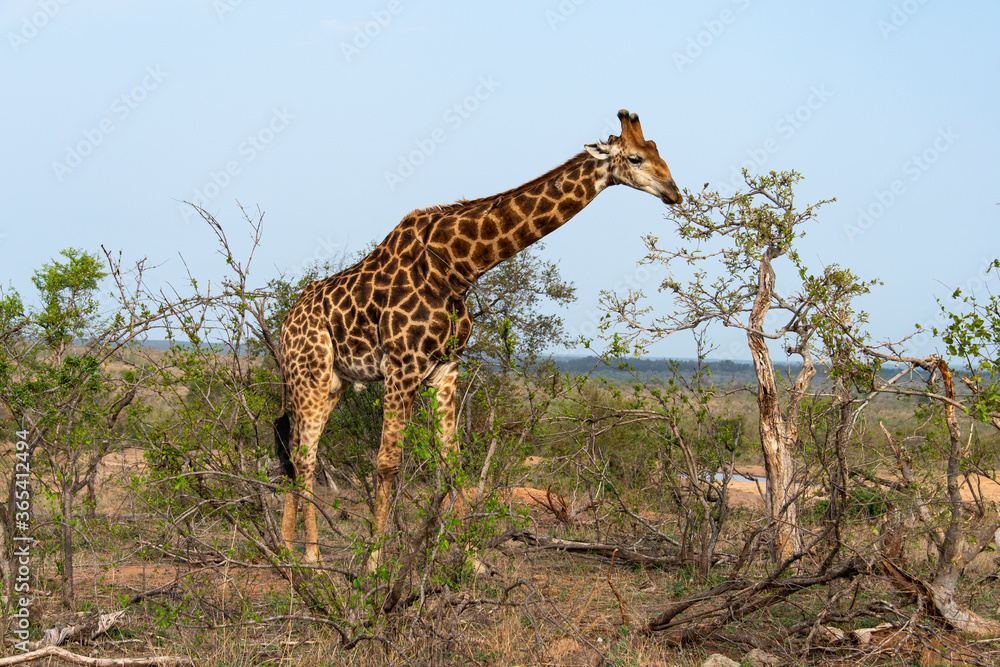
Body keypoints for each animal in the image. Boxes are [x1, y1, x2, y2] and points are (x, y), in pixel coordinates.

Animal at [274, 109, 681, 565]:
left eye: (658, 151)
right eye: (635, 158)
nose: (674, 192)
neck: (458, 267)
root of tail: (287, 322)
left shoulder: (445, 368)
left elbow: (451, 463)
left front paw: (470, 557)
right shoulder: (402, 365)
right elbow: (387, 463)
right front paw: (375, 561)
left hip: (333, 382)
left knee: (298, 449)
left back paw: (289, 547)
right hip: (309, 374)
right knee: (304, 456)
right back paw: (308, 556)